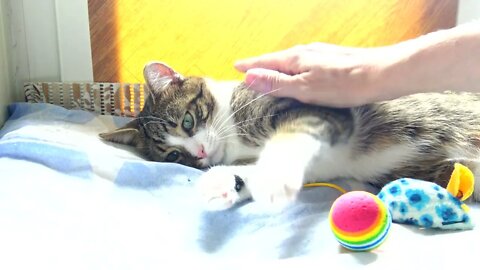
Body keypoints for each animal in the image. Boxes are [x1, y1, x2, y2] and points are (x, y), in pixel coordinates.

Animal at [100, 62, 480, 210]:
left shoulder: (317, 108)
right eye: (173, 156)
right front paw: (223, 183)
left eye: (188, 121)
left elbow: (290, 139)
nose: (201, 154)